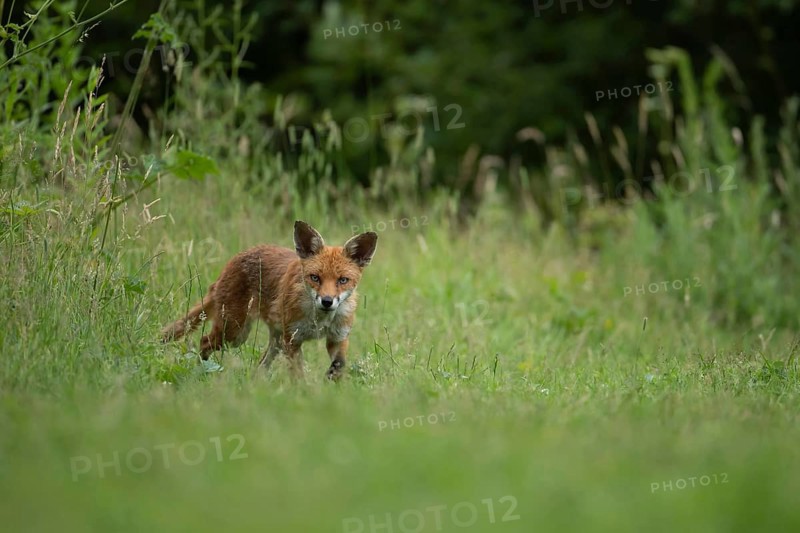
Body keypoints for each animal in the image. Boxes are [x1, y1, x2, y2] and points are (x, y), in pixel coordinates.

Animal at [161, 221, 378, 380]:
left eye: (343, 280)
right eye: (315, 278)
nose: (326, 301)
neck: (320, 320)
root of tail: (231, 263)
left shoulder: (337, 337)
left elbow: (339, 364)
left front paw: (333, 383)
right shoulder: (293, 340)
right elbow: (298, 375)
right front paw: (304, 394)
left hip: (273, 340)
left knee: (261, 364)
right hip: (235, 333)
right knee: (204, 341)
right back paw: (202, 371)